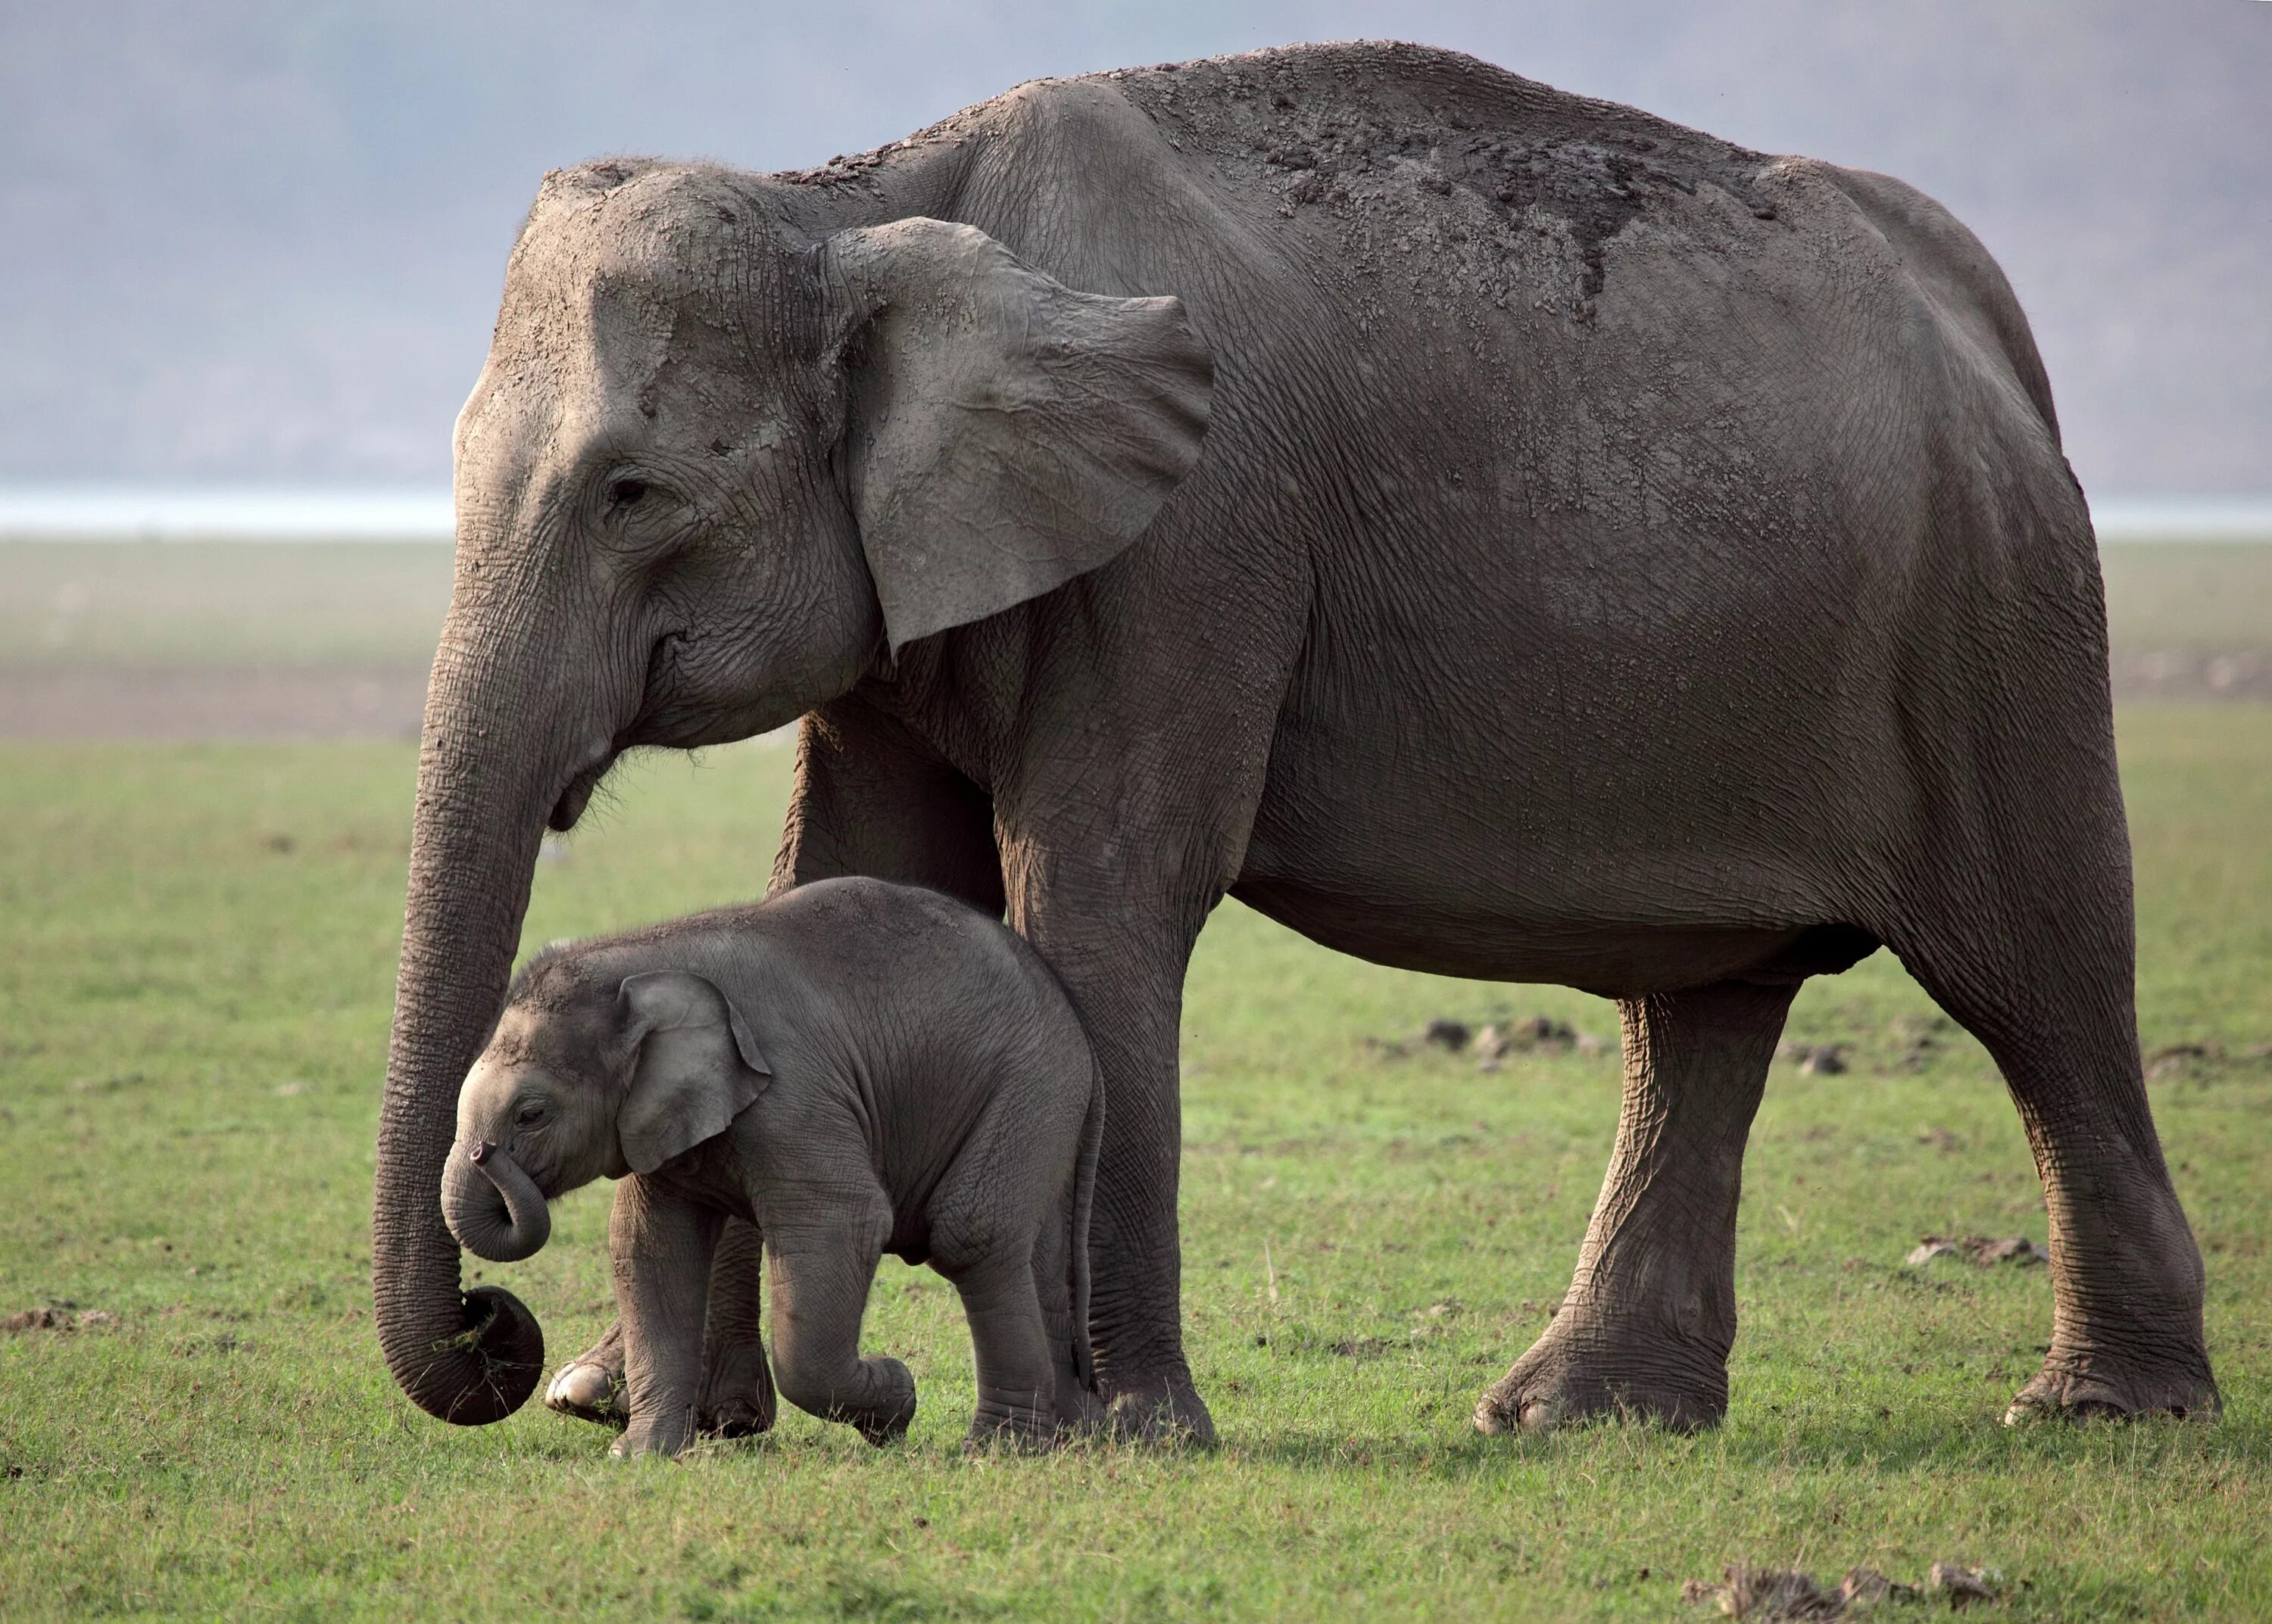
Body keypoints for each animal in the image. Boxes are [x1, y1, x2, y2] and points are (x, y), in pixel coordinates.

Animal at [441, 877, 1100, 1463]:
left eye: (531, 1113)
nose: (483, 1154)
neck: (645, 959)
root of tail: (1080, 1035)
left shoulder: (794, 1095)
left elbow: (846, 1218)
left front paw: (896, 1403)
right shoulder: (663, 1118)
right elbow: (652, 1246)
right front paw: (639, 1455)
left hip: (1031, 1087)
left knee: (972, 1235)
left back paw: (998, 1449)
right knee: (1026, 1252)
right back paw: (1051, 1439)